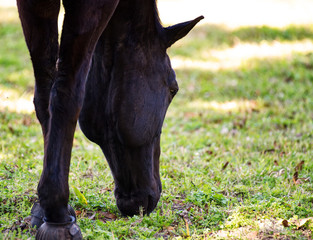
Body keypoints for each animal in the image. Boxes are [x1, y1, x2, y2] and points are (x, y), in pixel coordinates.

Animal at [17, 0, 202, 238]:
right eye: (173, 89)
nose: (141, 203)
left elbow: (45, 92)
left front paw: (43, 210)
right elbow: (67, 93)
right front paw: (58, 216)